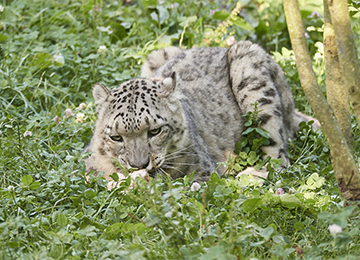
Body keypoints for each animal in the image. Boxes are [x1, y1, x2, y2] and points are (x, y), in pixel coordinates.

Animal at [83, 41, 320, 183]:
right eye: (116, 137)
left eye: (155, 131)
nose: (139, 165)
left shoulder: (201, 171)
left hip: (255, 82)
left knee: (278, 155)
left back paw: (249, 176)